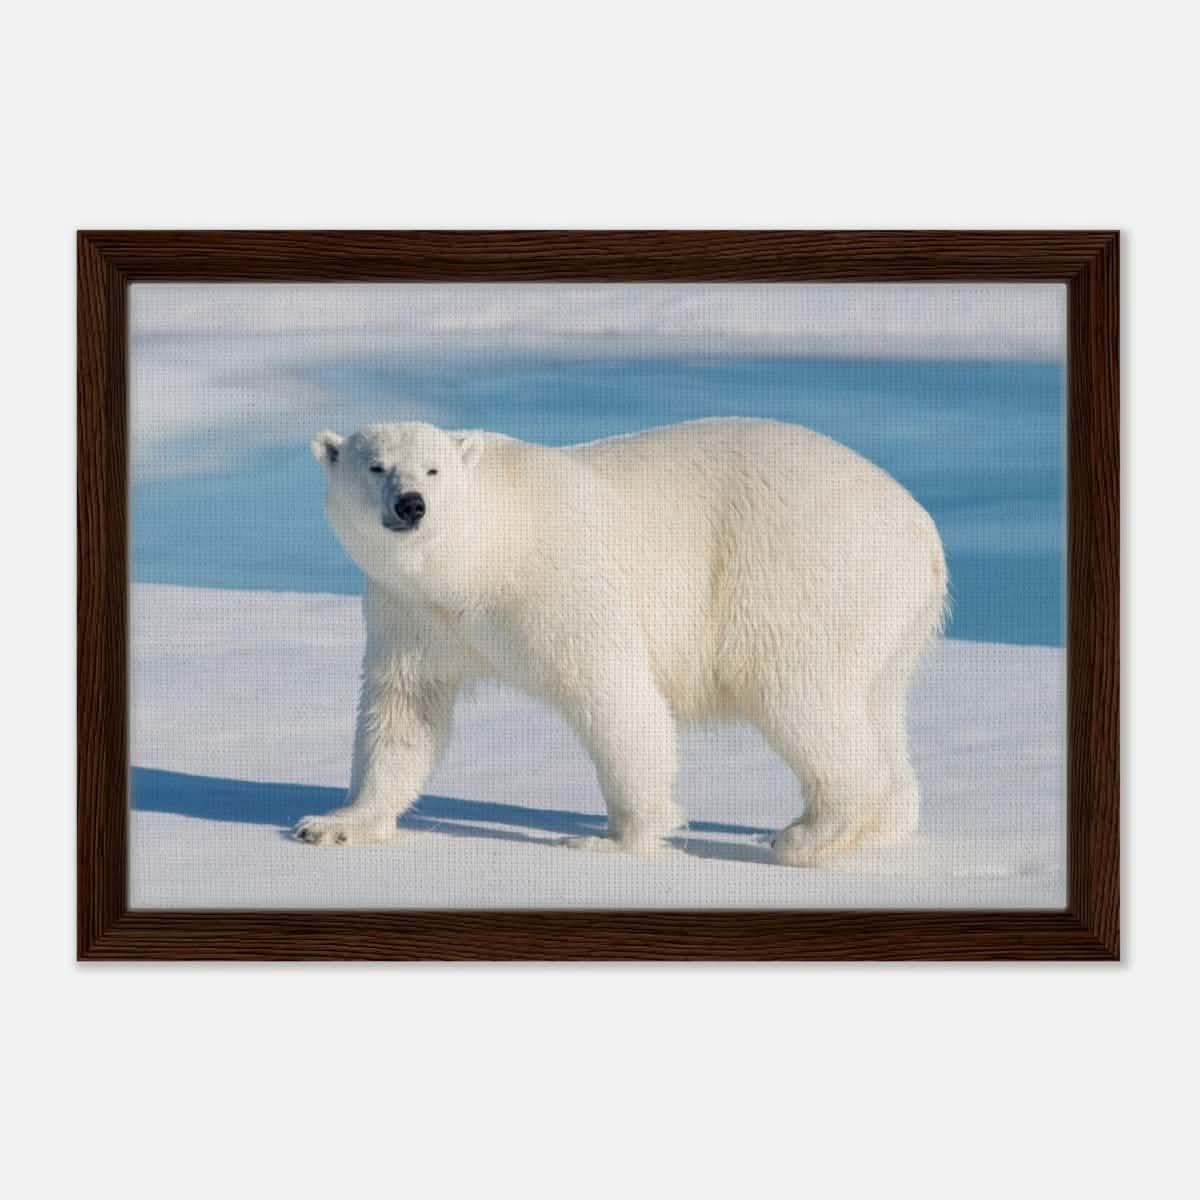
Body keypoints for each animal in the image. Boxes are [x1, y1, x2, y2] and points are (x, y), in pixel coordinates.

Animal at [294, 417, 948, 866]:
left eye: (433, 469)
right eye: (376, 466)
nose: (412, 505)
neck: (481, 556)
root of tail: (922, 527)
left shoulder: (560, 582)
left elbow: (615, 697)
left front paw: (612, 840)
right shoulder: (412, 611)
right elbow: (404, 711)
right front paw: (333, 824)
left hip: (800, 574)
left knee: (798, 695)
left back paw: (806, 834)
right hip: (887, 618)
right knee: (876, 704)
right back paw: (881, 825)